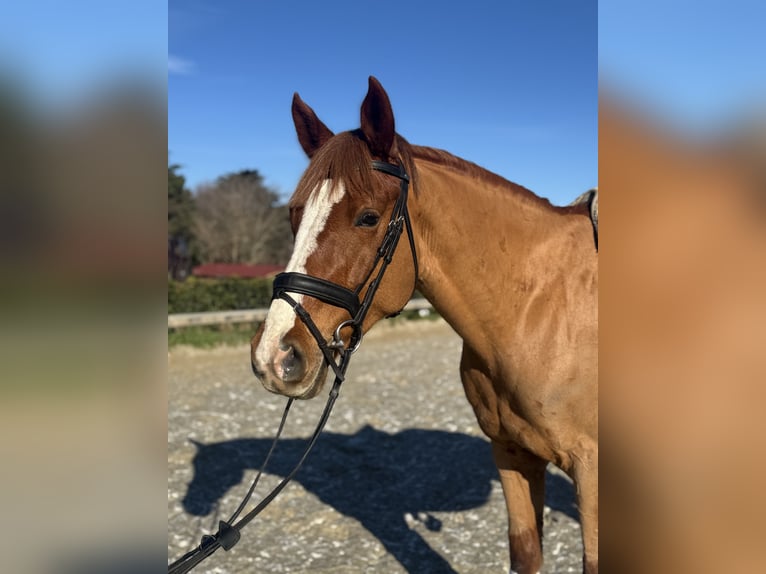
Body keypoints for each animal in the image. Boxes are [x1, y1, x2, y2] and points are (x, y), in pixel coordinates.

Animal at [251, 77, 598, 574]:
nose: (275, 355)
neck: (540, 309)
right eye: (294, 215)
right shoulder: (512, 453)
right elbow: (526, 553)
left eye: (368, 217)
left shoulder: (592, 475)